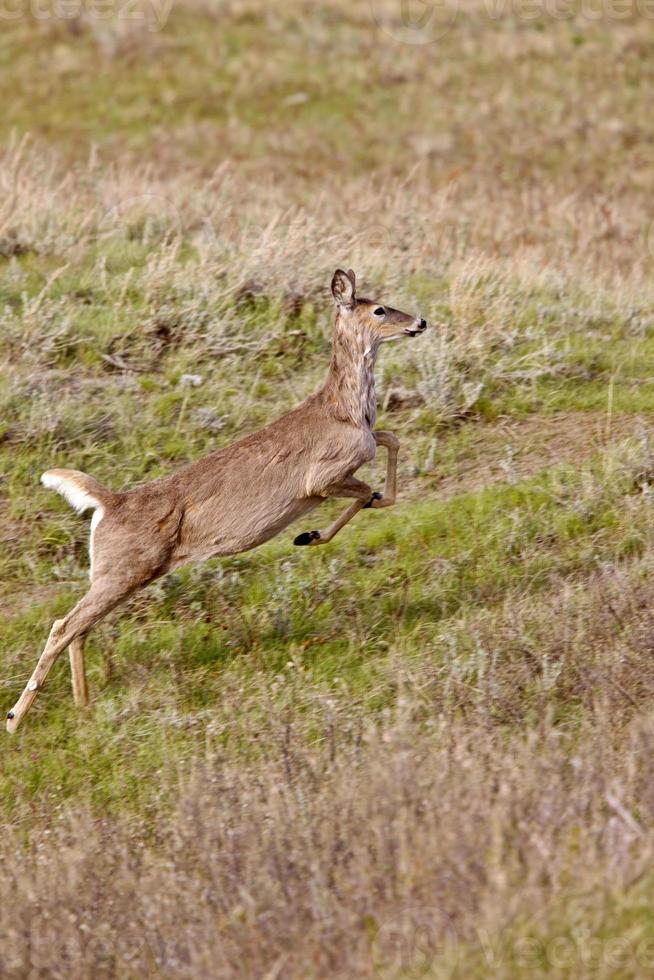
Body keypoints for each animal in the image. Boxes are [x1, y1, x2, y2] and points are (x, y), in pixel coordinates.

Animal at [7, 268, 428, 728]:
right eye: (379, 309)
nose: (420, 322)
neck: (346, 411)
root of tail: (107, 503)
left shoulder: (359, 454)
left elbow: (390, 442)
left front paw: (314, 533)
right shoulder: (321, 478)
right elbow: (370, 486)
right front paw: (310, 535)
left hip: (117, 574)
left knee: (79, 627)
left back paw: (83, 706)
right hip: (124, 570)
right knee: (63, 625)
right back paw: (15, 716)